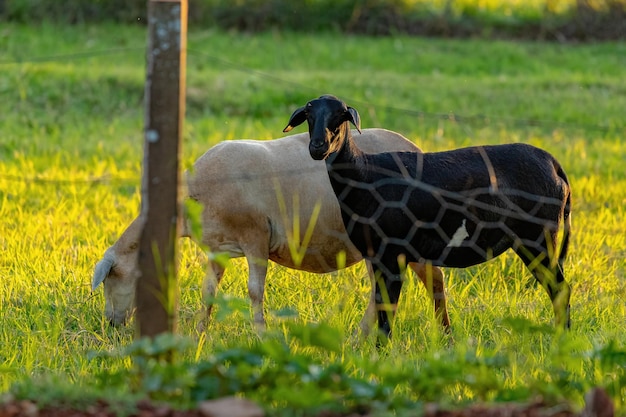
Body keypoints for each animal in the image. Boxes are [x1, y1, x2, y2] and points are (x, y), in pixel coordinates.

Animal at [282, 95, 572, 342]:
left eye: (340, 115)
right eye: (308, 114)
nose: (318, 147)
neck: (364, 174)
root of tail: (553, 164)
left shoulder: (393, 253)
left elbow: (388, 312)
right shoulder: (376, 256)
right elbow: (382, 307)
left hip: (538, 236)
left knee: (560, 290)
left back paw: (562, 341)